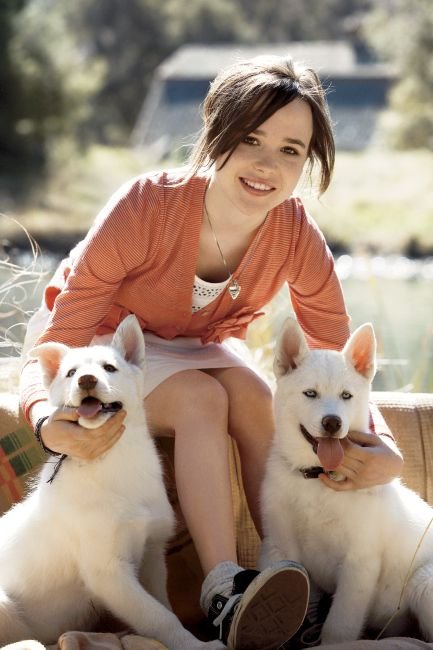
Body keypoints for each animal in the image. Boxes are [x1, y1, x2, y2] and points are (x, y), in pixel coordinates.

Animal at [0, 316, 223, 648]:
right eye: (71, 373)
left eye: (109, 368)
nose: (86, 381)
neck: (113, 462)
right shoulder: (109, 573)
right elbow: (160, 617)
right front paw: (194, 645)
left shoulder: (151, 554)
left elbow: (162, 608)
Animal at [258, 318, 432, 644]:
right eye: (310, 394)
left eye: (346, 396)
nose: (332, 423)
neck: (316, 480)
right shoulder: (279, 548)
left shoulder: (358, 563)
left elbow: (339, 626)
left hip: (424, 581)